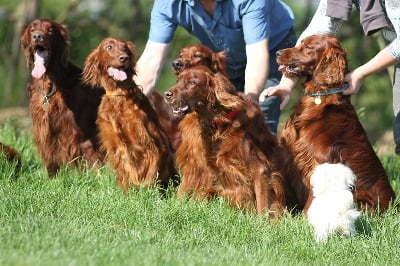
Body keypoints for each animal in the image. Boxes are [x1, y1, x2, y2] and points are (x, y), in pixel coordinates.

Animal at [20, 19, 103, 177]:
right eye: (32, 30)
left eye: (50, 30)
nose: (37, 36)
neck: (49, 87)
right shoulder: (44, 132)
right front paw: (52, 179)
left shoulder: (79, 136)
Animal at [83, 37, 178, 193]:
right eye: (109, 47)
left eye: (125, 48)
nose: (124, 58)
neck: (119, 94)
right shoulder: (116, 148)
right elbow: (124, 176)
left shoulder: (155, 143)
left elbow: (151, 175)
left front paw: (145, 194)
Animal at [164, 65, 286, 217]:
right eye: (178, 80)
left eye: (192, 82)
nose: (167, 94)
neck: (221, 122)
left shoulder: (260, 169)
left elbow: (262, 206)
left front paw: (261, 222)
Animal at [276, 35, 396, 213]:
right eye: (300, 43)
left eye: (309, 47)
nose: (277, 53)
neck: (321, 97)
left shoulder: (321, 162)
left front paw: (306, 216)